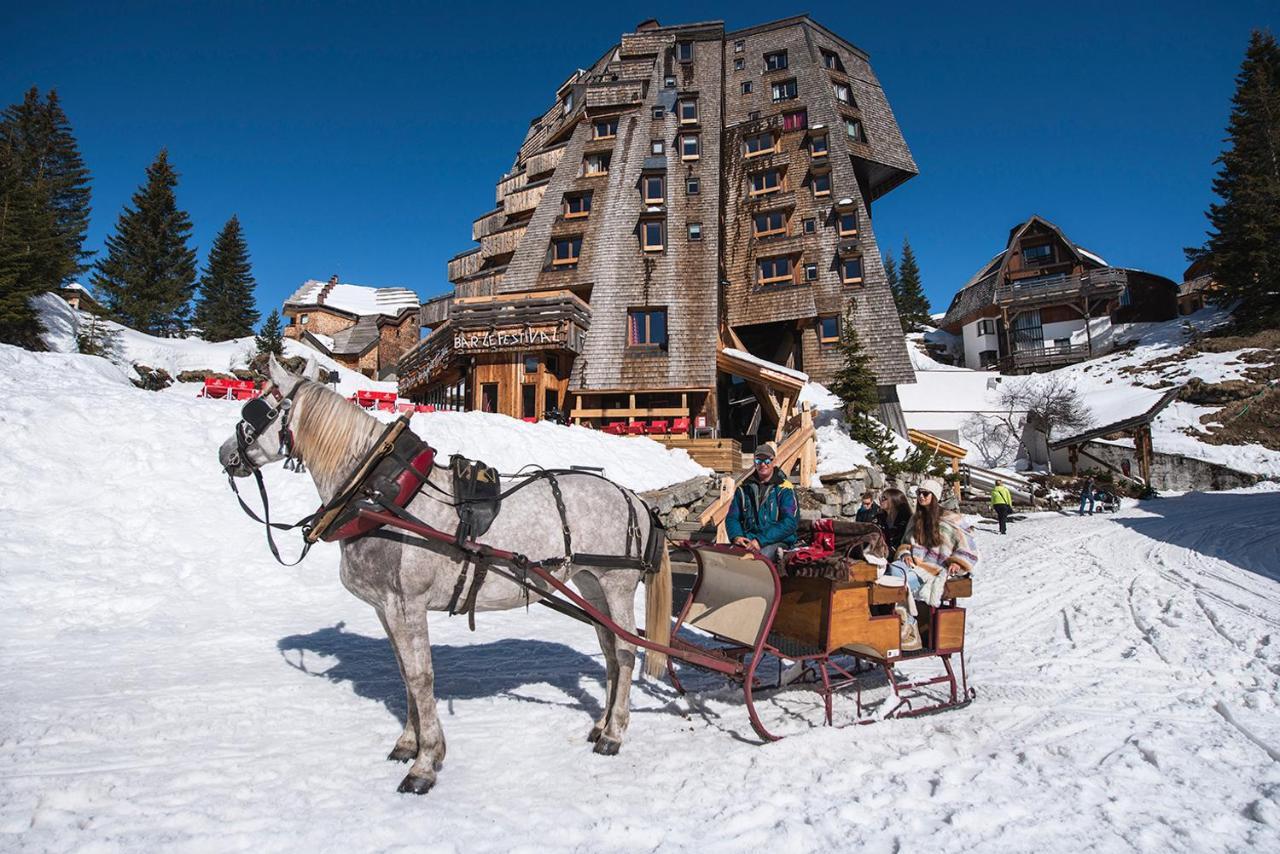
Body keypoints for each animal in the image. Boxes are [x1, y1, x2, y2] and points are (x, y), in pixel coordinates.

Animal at [221, 358, 675, 793]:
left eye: (259, 406)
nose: (226, 454)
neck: (382, 495)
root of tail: (634, 498)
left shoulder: (407, 603)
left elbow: (421, 677)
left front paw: (425, 763)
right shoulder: (386, 607)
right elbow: (404, 673)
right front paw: (408, 743)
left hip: (616, 584)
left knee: (625, 653)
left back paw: (614, 734)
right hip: (589, 584)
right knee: (610, 653)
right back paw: (601, 723)